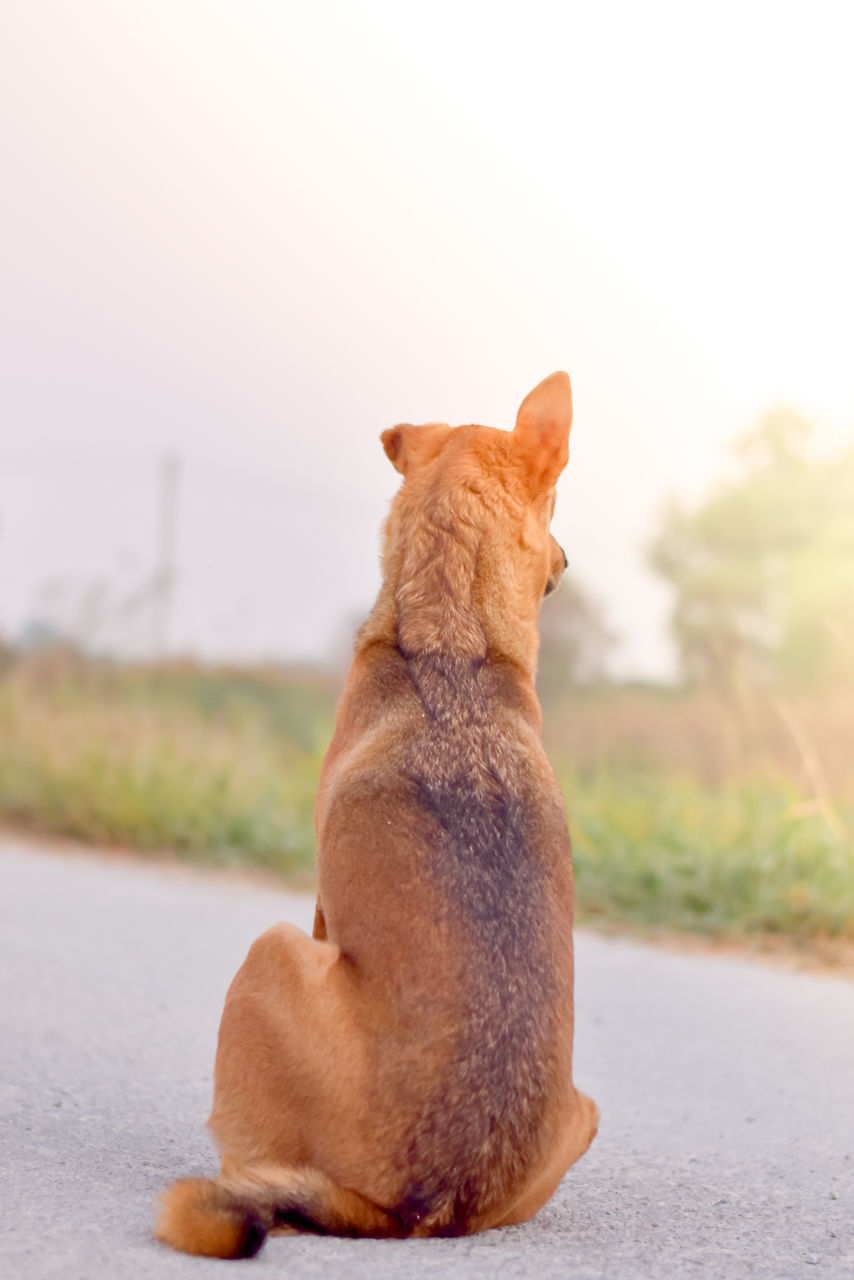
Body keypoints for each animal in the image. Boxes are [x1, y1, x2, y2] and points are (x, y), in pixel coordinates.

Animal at [158, 373, 601, 1259]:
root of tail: (420, 1209)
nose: (570, 560)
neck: (452, 643)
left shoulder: (321, 910)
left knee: (250, 1164)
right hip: (587, 1112)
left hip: (272, 951)